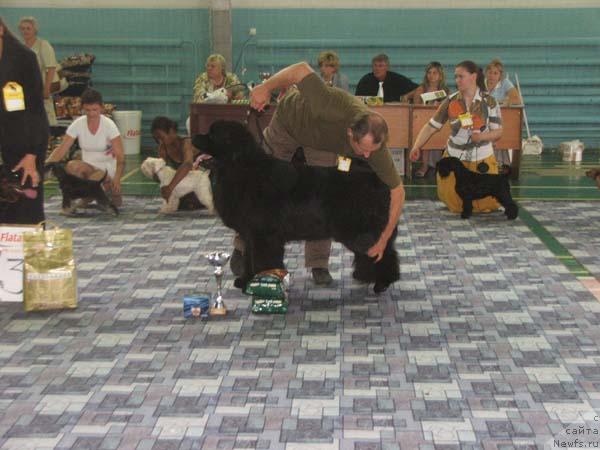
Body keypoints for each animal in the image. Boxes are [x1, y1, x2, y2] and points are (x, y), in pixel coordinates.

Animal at [196, 120, 398, 296]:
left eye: (212, 135)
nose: (194, 136)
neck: (240, 168)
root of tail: (375, 177)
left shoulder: (263, 235)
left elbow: (261, 259)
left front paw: (260, 283)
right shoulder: (250, 234)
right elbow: (249, 258)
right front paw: (246, 280)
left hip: (361, 231)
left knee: (384, 253)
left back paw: (382, 282)